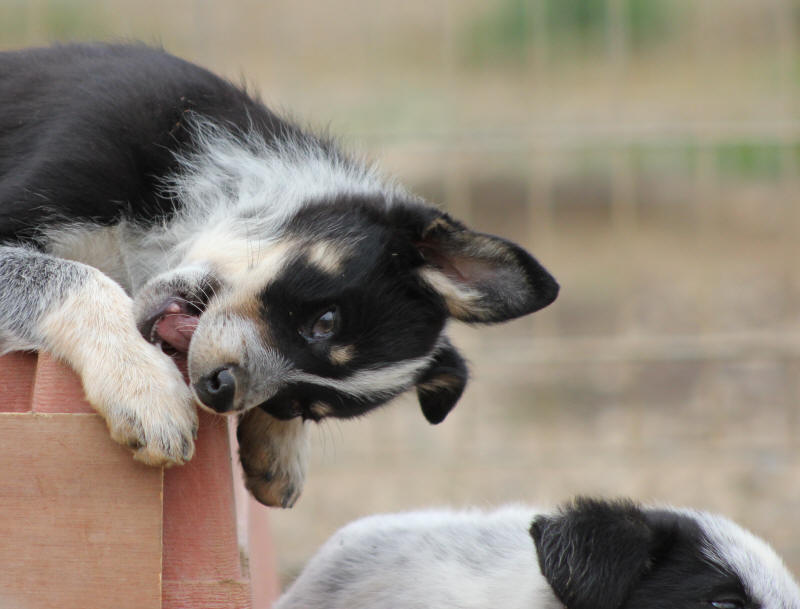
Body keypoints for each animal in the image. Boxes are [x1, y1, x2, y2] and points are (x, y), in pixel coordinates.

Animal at [0, 42, 560, 506]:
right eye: (327, 321)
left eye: (298, 406)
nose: (219, 390)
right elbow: (77, 278)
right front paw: (143, 386)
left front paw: (279, 450)